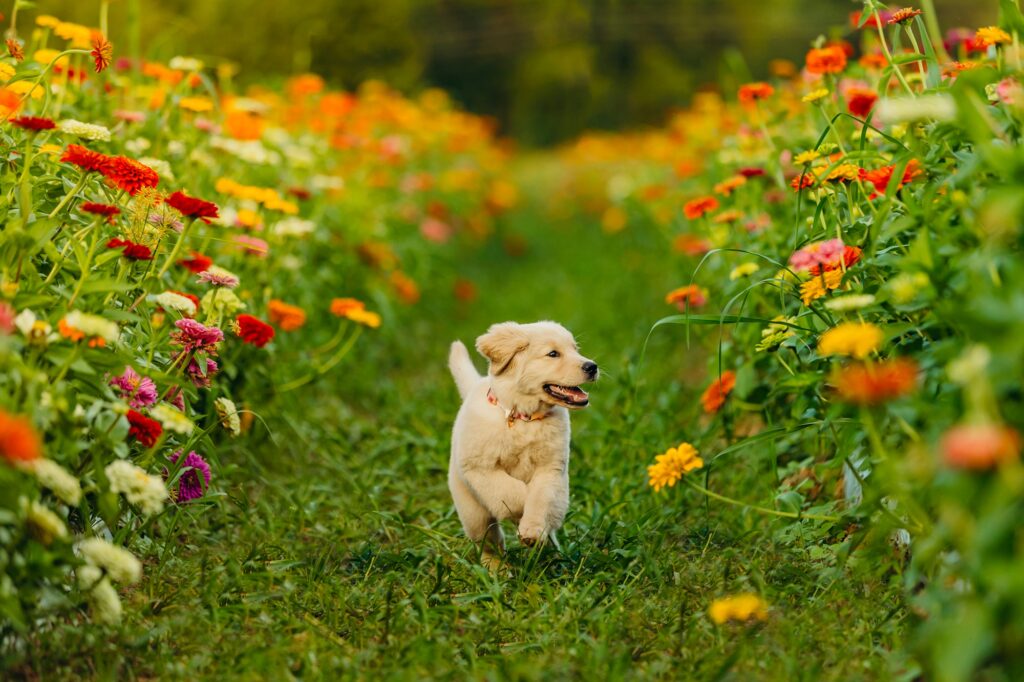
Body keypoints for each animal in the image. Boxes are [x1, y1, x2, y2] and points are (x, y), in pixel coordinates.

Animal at [448, 321, 598, 561]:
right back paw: (495, 565)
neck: (523, 418)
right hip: (473, 514)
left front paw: (533, 529)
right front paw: (522, 515)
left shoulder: (550, 469)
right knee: (490, 542)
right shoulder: (481, 469)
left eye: (576, 349)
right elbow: (514, 492)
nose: (592, 366)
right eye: (553, 354)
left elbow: (540, 496)